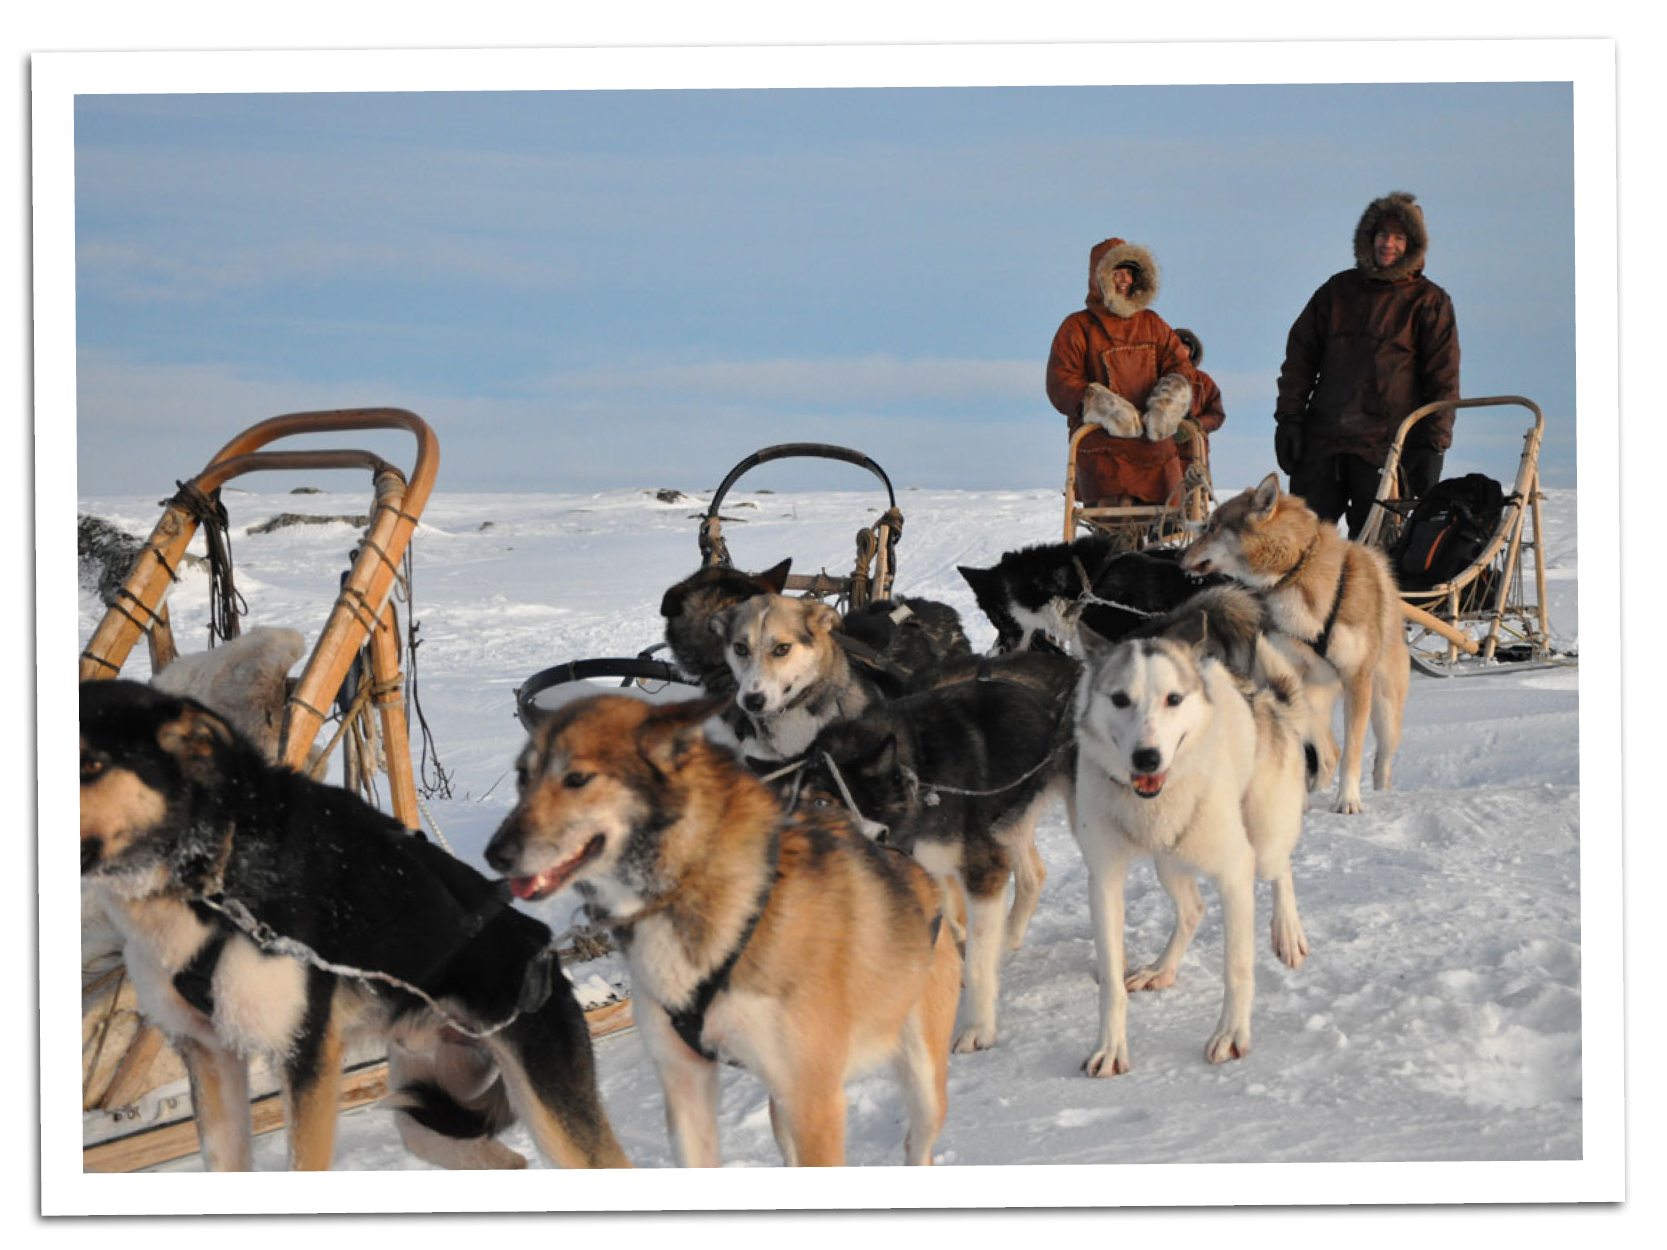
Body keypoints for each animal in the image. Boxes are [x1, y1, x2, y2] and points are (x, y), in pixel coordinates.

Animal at [486, 700, 960, 1173]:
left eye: (577, 778)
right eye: (522, 776)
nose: (495, 854)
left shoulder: (815, 1104)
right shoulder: (685, 1083)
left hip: (920, 1084)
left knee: (918, 1142)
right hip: (780, 1108)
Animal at [796, 650, 1080, 1053]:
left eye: (822, 801)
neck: (922, 774)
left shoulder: (983, 870)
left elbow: (976, 959)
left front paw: (977, 1027)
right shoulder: (931, 864)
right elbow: (955, 927)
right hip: (1009, 820)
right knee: (1033, 875)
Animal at [1066, 626, 1313, 1080]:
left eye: (1174, 699)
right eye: (1120, 699)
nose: (1147, 757)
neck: (1151, 803)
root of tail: (1264, 698)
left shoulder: (1235, 873)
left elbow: (1237, 967)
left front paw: (1231, 1035)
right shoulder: (1104, 881)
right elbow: (1111, 981)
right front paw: (1110, 1047)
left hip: (1264, 838)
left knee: (1280, 868)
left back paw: (1288, 932)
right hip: (1169, 862)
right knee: (1193, 909)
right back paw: (1162, 968)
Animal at [1186, 473, 1406, 816]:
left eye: (1212, 526)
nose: (1178, 556)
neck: (1298, 570)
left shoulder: (1357, 680)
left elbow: (1353, 752)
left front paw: (1348, 800)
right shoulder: (1290, 678)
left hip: (1385, 708)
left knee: (1381, 761)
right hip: (1312, 701)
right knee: (1328, 752)